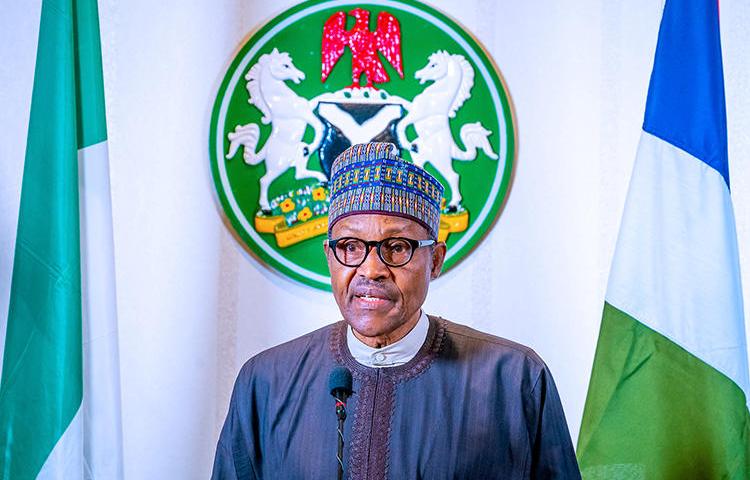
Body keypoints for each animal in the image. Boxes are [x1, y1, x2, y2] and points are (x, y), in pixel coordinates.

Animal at [226, 48, 326, 212]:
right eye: (285, 65)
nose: (301, 76)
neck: (279, 100)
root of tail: (265, 152)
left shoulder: (308, 106)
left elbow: (321, 98)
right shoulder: (304, 114)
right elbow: (320, 126)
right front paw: (315, 144)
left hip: (296, 155)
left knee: (299, 174)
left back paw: (322, 177)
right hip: (280, 165)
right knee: (264, 180)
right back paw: (266, 208)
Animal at [396, 51, 502, 208]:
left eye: (434, 65)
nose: (417, 74)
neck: (438, 95)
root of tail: (451, 148)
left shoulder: (417, 113)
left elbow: (401, 124)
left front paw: (404, 142)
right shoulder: (412, 107)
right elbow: (399, 100)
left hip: (439, 161)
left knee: (454, 176)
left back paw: (453, 205)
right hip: (420, 158)